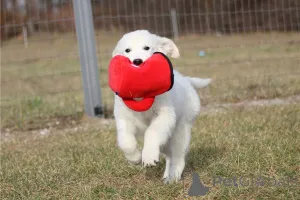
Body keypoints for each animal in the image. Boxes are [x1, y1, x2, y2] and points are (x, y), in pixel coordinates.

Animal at [111, 29, 212, 183]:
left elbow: (152, 132)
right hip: (166, 140)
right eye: (127, 50)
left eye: (147, 48)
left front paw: (148, 157)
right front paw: (134, 158)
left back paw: (173, 177)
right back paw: (166, 175)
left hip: (181, 130)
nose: (137, 61)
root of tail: (187, 80)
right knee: (169, 156)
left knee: (178, 157)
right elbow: (125, 141)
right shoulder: (123, 118)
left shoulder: (165, 115)